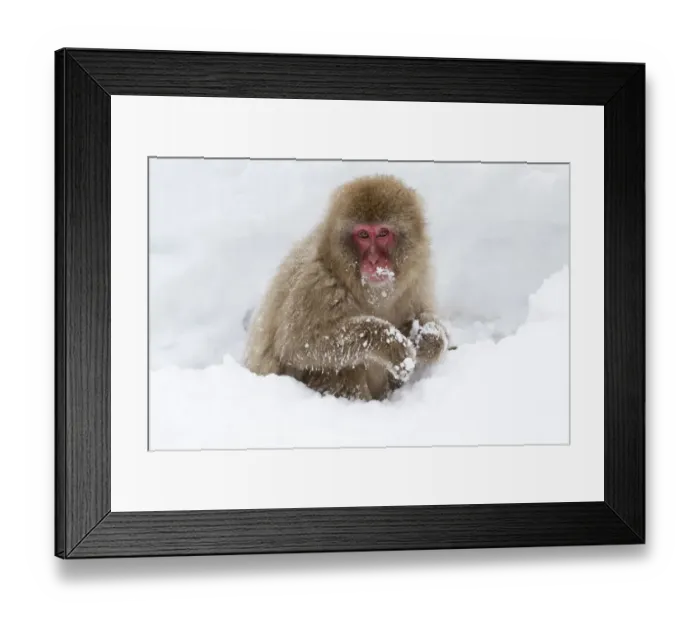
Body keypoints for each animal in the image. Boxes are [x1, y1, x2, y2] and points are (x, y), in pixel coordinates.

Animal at [243, 174, 449, 401]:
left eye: (383, 233)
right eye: (363, 235)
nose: (374, 261)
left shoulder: (418, 277)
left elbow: (423, 314)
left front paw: (429, 339)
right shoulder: (317, 283)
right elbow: (297, 344)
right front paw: (390, 343)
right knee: (341, 364)